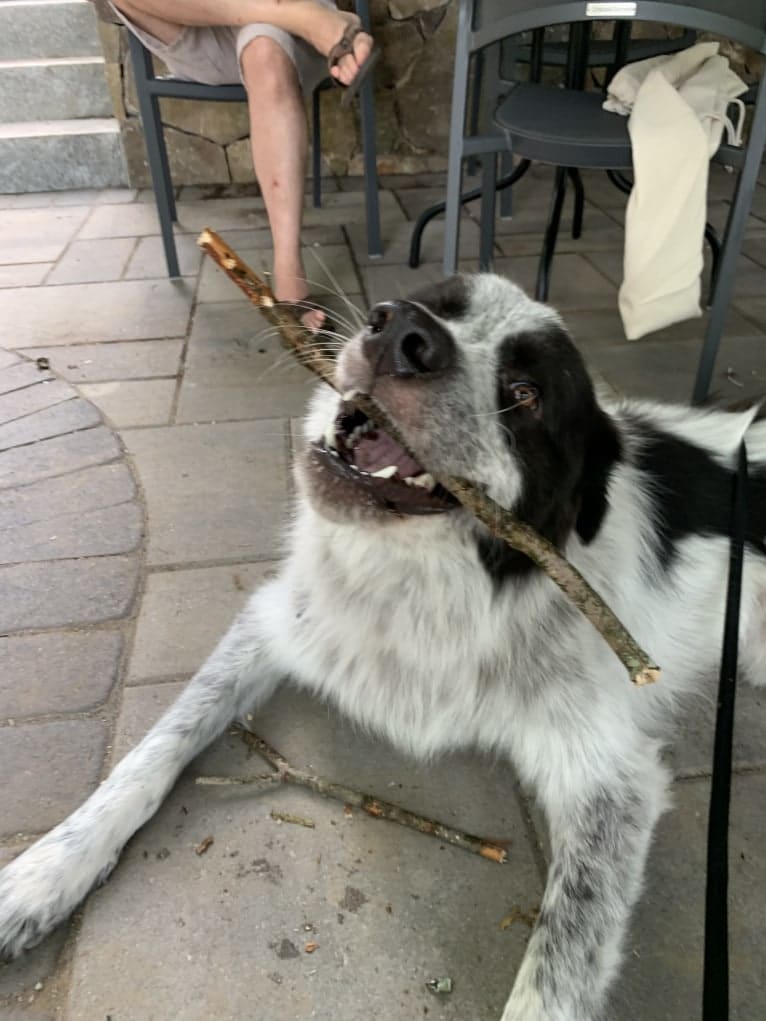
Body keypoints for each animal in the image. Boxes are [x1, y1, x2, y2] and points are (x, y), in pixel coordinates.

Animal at [1, 275, 766, 1016]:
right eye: (436, 300)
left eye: (525, 393)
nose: (402, 332)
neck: (418, 588)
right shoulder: (275, 621)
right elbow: (155, 747)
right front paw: (44, 872)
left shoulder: (612, 780)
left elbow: (557, 970)